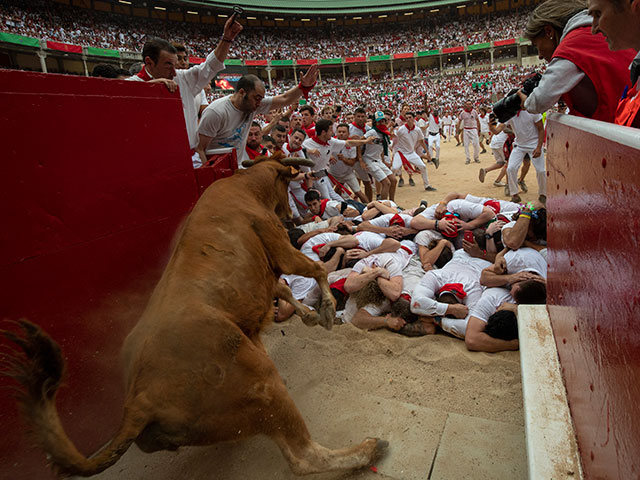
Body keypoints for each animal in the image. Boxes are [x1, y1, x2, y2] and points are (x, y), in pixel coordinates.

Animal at [2, 157, 388, 476]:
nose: (293, 214)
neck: (245, 187)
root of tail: (138, 400)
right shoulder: (279, 246)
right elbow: (314, 270)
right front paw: (325, 311)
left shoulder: (267, 274)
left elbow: (283, 290)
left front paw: (310, 315)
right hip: (263, 386)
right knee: (303, 456)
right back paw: (368, 449)